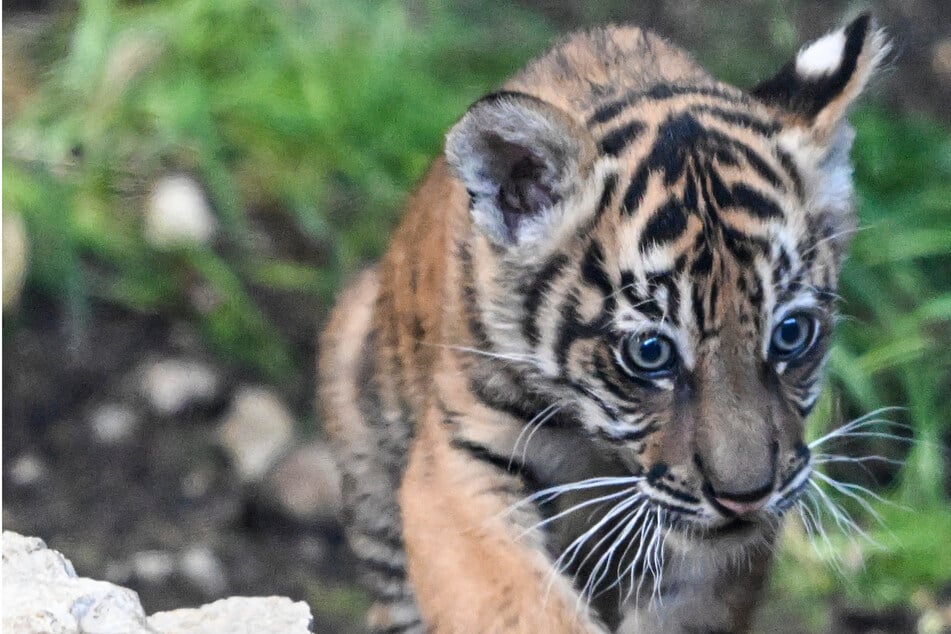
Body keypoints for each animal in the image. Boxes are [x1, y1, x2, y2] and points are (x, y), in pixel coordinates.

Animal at [319, 13, 888, 634]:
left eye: (791, 334)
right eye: (650, 351)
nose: (747, 497)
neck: (596, 446)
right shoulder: (456, 464)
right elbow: (518, 604)